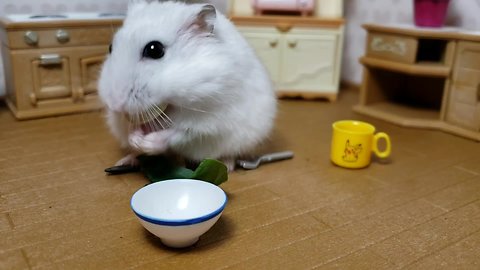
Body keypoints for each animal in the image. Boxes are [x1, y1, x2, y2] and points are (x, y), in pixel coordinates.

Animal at [97, 1, 276, 170]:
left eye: (155, 50)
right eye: (111, 47)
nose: (115, 105)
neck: (172, 103)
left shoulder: (208, 120)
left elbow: (180, 133)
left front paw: (147, 143)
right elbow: (131, 128)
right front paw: (135, 140)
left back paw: (227, 165)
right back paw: (126, 160)